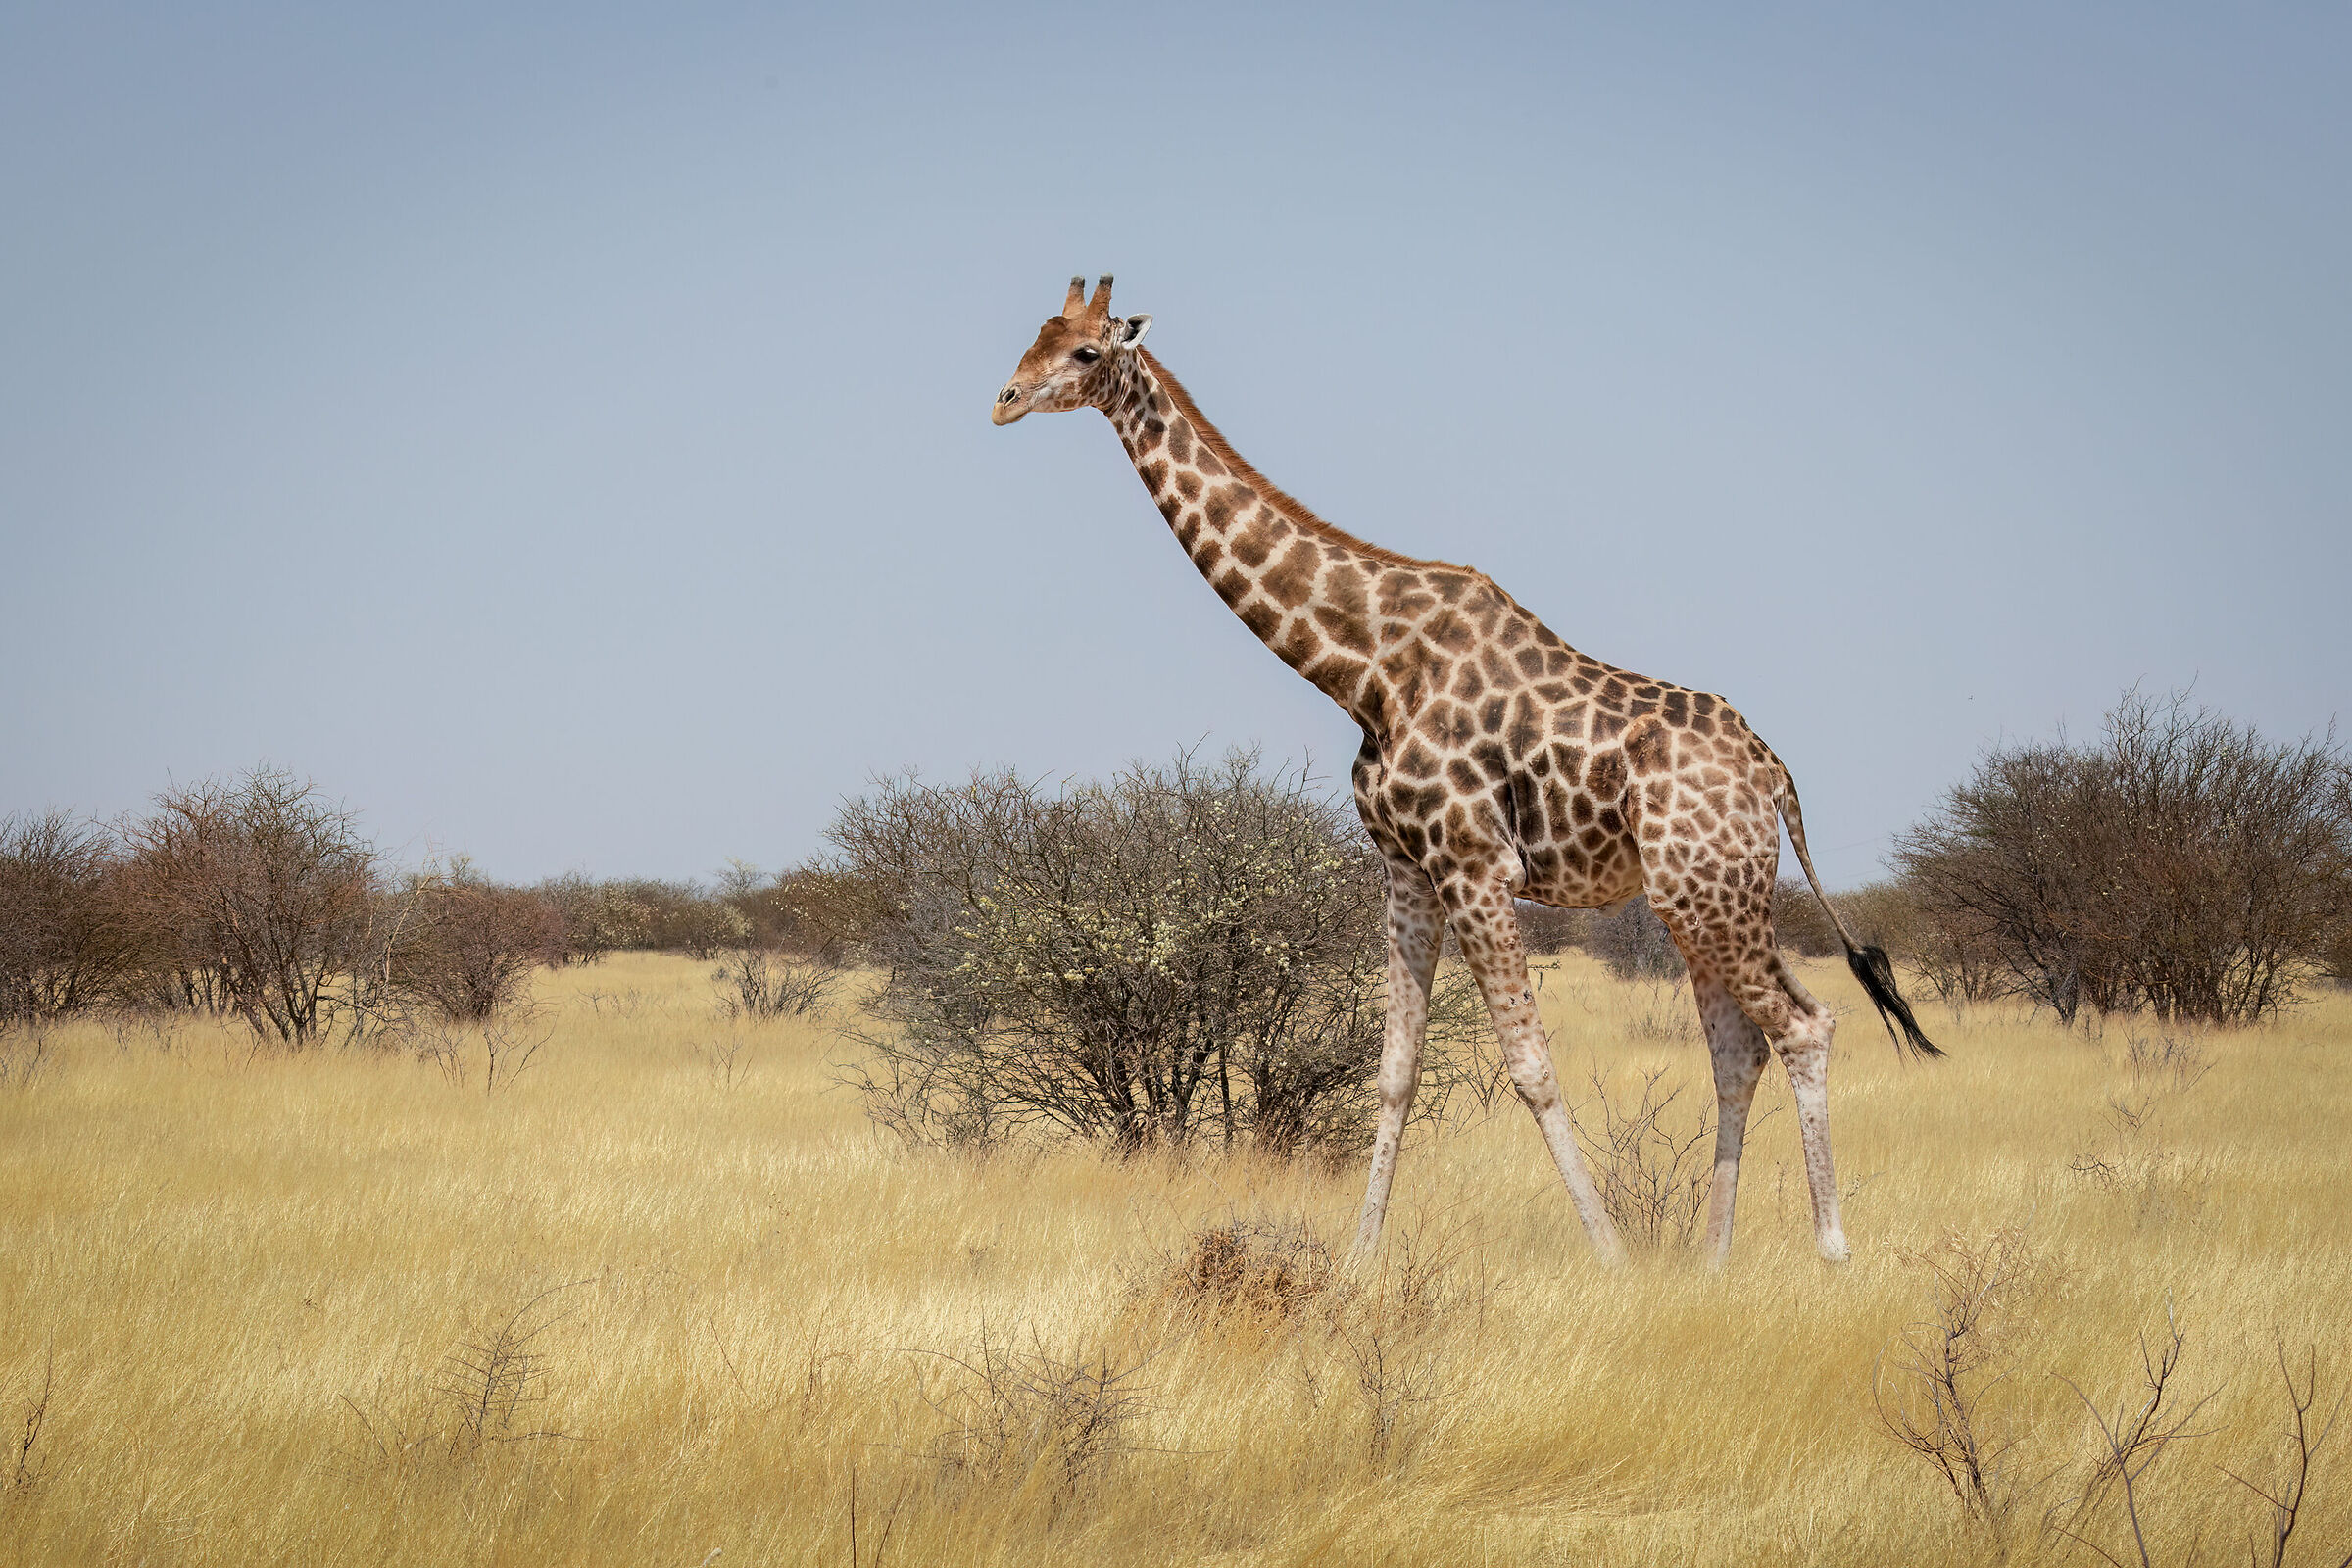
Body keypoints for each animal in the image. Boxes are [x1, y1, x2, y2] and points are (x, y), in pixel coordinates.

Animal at [991, 277, 1941, 1267]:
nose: (1003, 401)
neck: (1364, 669)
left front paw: (1611, 1258)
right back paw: (1710, 1259)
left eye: (1086, 351)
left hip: (1711, 892)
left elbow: (1531, 1067)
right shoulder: (1407, 868)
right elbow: (1395, 1073)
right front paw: (1359, 1262)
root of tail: (1777, 776)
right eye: (1034, 336)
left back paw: (1831, 1246)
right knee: (1739, 1046)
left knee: (1804, 1024)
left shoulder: (1476, 865)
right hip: (1696, 898)